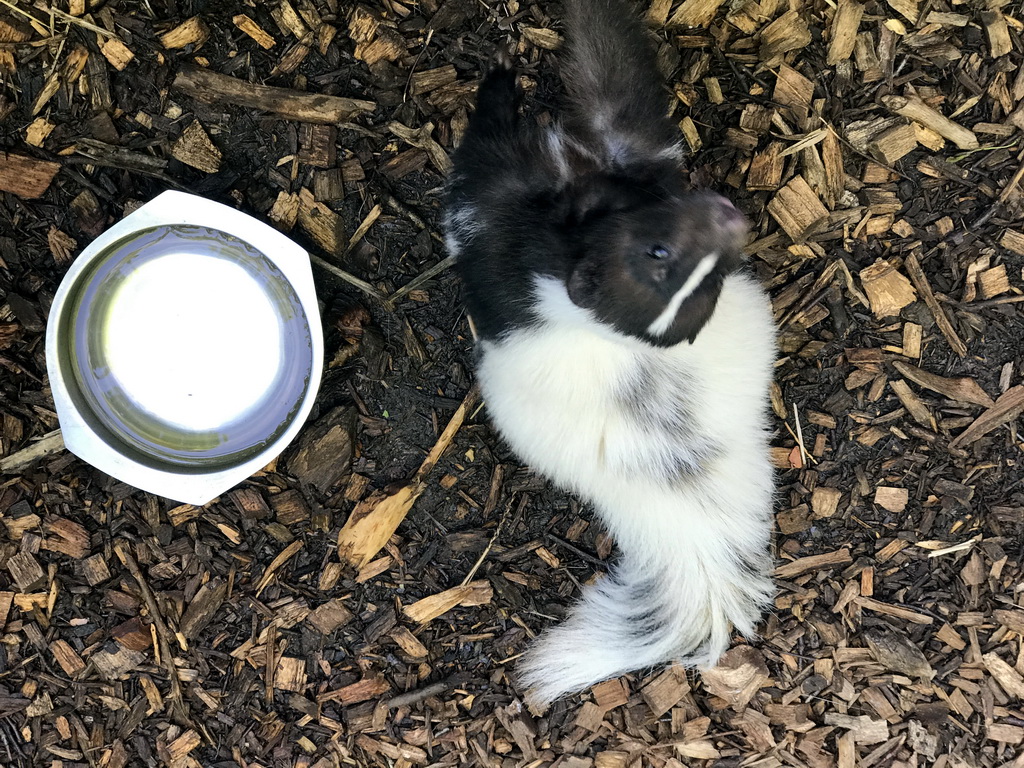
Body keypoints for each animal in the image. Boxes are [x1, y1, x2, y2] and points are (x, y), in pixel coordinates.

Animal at [446, 0, 774, 708]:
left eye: (706, 277)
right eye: (657, 252)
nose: (729, 218)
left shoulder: (504, 212)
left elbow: (485, 161)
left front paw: (502, 81)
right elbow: (620, 110)